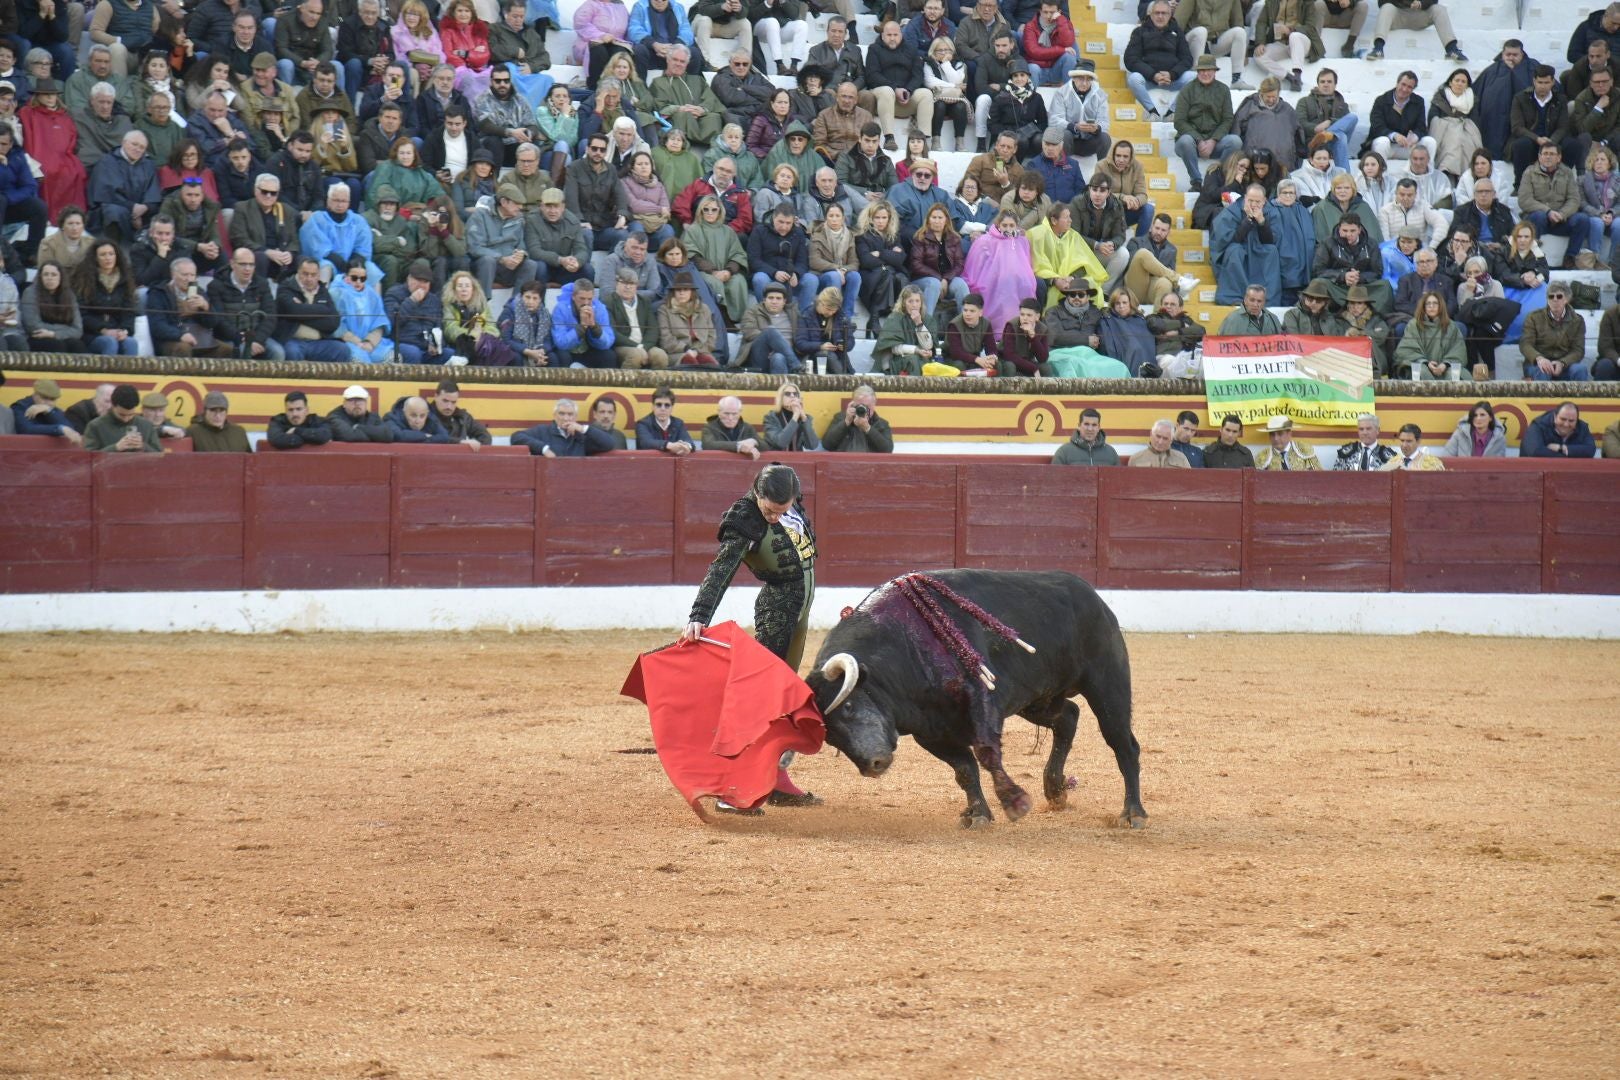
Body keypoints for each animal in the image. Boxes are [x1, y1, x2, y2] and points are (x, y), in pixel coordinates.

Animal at [803, 569, 1146, 835]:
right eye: (830, 736)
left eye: (848, 706)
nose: (872, 765)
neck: (905, 645)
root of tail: (1092, 595)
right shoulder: (929, 732)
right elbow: (965, 768)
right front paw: (978, 813)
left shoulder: (983, 701)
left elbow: (985, 754)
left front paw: (1014, 802)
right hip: (1037, 701)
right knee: (1069, 717)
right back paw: (1055, 789)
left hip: (1107, 685)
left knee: (1123, 744)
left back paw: (1133, 813)